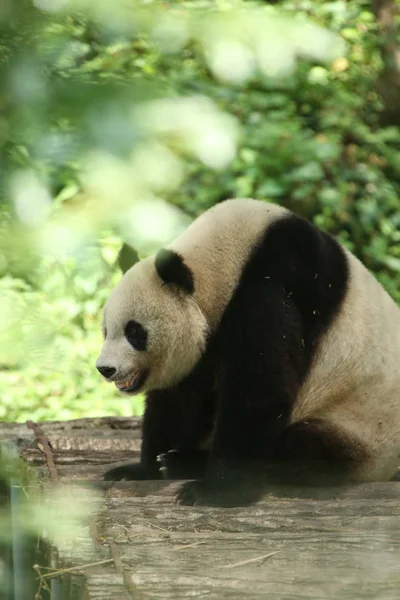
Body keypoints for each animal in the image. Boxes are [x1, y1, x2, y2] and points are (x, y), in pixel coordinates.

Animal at [96, 199, 400, 504]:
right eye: (106, 331)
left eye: (134, 332)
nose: (105, 368)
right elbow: (180, 398)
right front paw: (141, 469)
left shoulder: (276, 287)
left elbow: (258, 389)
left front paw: (214, 490)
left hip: (360, 427)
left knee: (305, 451)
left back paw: (189, 464)